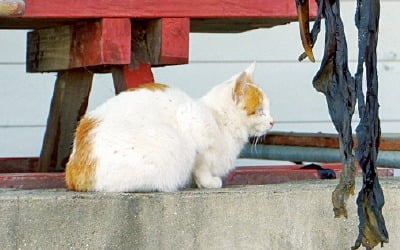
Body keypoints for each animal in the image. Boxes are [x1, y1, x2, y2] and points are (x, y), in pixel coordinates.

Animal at [65, 63, 274, 192]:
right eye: (260, 111)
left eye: (268, 109)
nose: (273, 122)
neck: (219, 120)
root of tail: (73, 172)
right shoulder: (195, 132)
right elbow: (201, 167)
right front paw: (208, 182)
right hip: (170, 143)